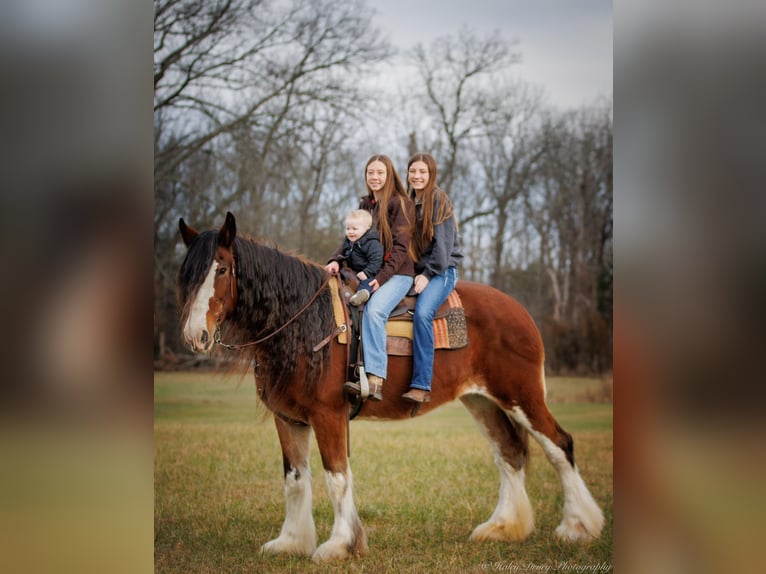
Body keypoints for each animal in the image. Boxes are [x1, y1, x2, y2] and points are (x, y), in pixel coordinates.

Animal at [177, 212, 604, 564]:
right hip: (482, 401)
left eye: (221, 269)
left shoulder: (328, 416)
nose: (195, 335)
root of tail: (520, 312)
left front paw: (340, 545)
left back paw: (578, 527)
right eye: (187, 274)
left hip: (521, 396)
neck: (304, 322)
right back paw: (503, 527)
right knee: (509, 452)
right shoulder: (289, 418)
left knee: (559, 446)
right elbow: (295, 481)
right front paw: (291, 542)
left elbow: (336, 477)